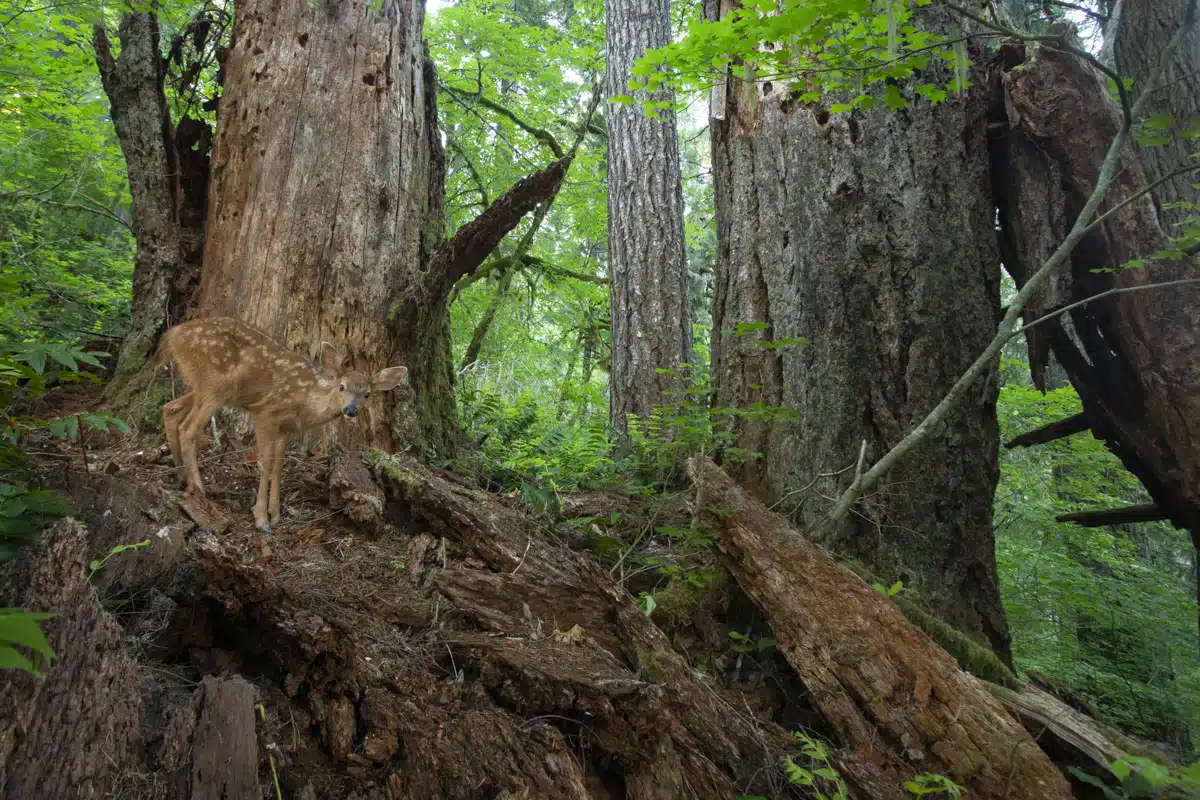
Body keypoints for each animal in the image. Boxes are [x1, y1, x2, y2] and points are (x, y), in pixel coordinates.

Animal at [153, 316, 408, 532]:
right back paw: (199, 490)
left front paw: (275, 514)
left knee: (170, 409)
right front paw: (261, 519)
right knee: (188, 429)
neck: (307, 402)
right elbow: (265, 461)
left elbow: (278, 465)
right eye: (342, 387)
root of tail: (173, 335)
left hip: (205, 386)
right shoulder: (267, 414)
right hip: (215, 384)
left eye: (367, 394)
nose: (350, 410)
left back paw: (180, 476)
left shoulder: (286, 428)